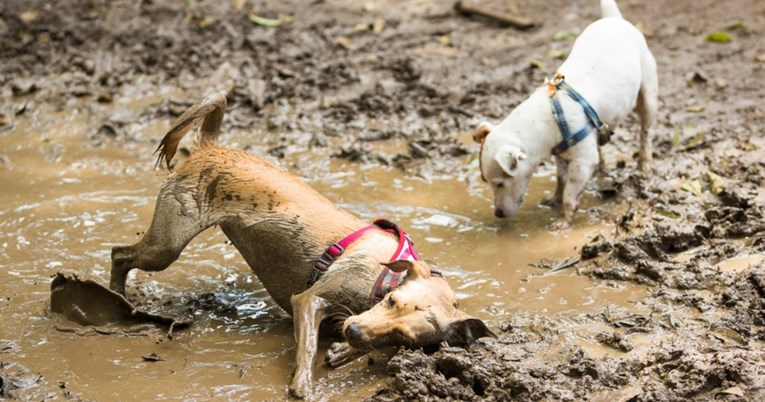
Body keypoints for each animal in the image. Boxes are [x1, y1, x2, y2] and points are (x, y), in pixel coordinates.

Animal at [107, 92, 492, 398]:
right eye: (392, 301)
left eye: (405, 337)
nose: (353, 331)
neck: (382, 277)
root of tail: (211, 146)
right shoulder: (308, 299)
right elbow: (307, 346)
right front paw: (304, 383)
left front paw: (343, 351)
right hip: (167, 245)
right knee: (119, 254)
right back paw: (118, 298)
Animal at [472, 0, 656, 228]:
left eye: (499, 183)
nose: (497, 213)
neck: (551, 113)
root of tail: (614, 19)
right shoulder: (560, 154)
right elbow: (561, 179)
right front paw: (554, 200)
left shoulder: (582, 163)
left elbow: (570, 194)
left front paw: (562, 222)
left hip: (648, 95)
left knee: (646, 133)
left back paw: (644, 166)